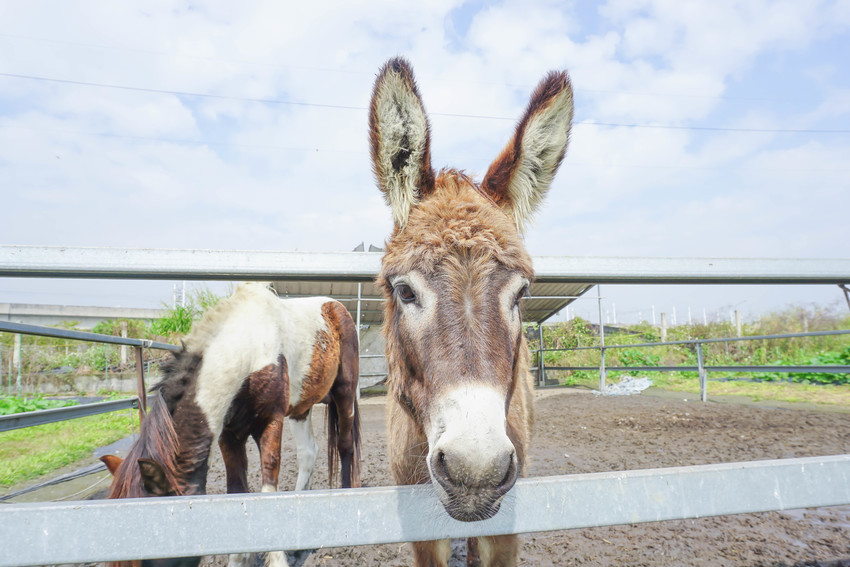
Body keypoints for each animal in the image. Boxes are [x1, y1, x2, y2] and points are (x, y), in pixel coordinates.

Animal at [101, 284, 360, 567]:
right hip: (301, 408)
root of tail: (336, 306)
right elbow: (237, 489)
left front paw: (276, 558)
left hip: (345, 392)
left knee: (345, 445)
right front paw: (240, 558)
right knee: (308, 453)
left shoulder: (271, 421)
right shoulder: (229, 433)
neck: (250, 352)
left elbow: (268, 480)